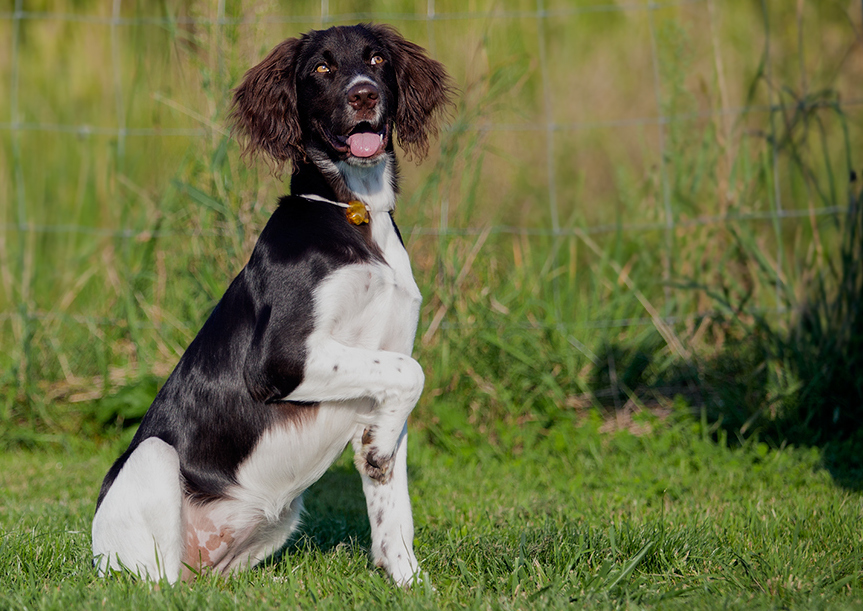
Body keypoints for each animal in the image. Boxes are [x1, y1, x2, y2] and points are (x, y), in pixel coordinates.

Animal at [92, 23, 456, 588]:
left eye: (376, 59)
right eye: (322, 69)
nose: (364, 94)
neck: (354, 213)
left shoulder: (386, 358)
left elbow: (394, 506)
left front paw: (408, 580)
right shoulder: (279, 359)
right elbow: (411, 371)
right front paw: (375, 447)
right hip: (153, 461)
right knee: (159, 584)